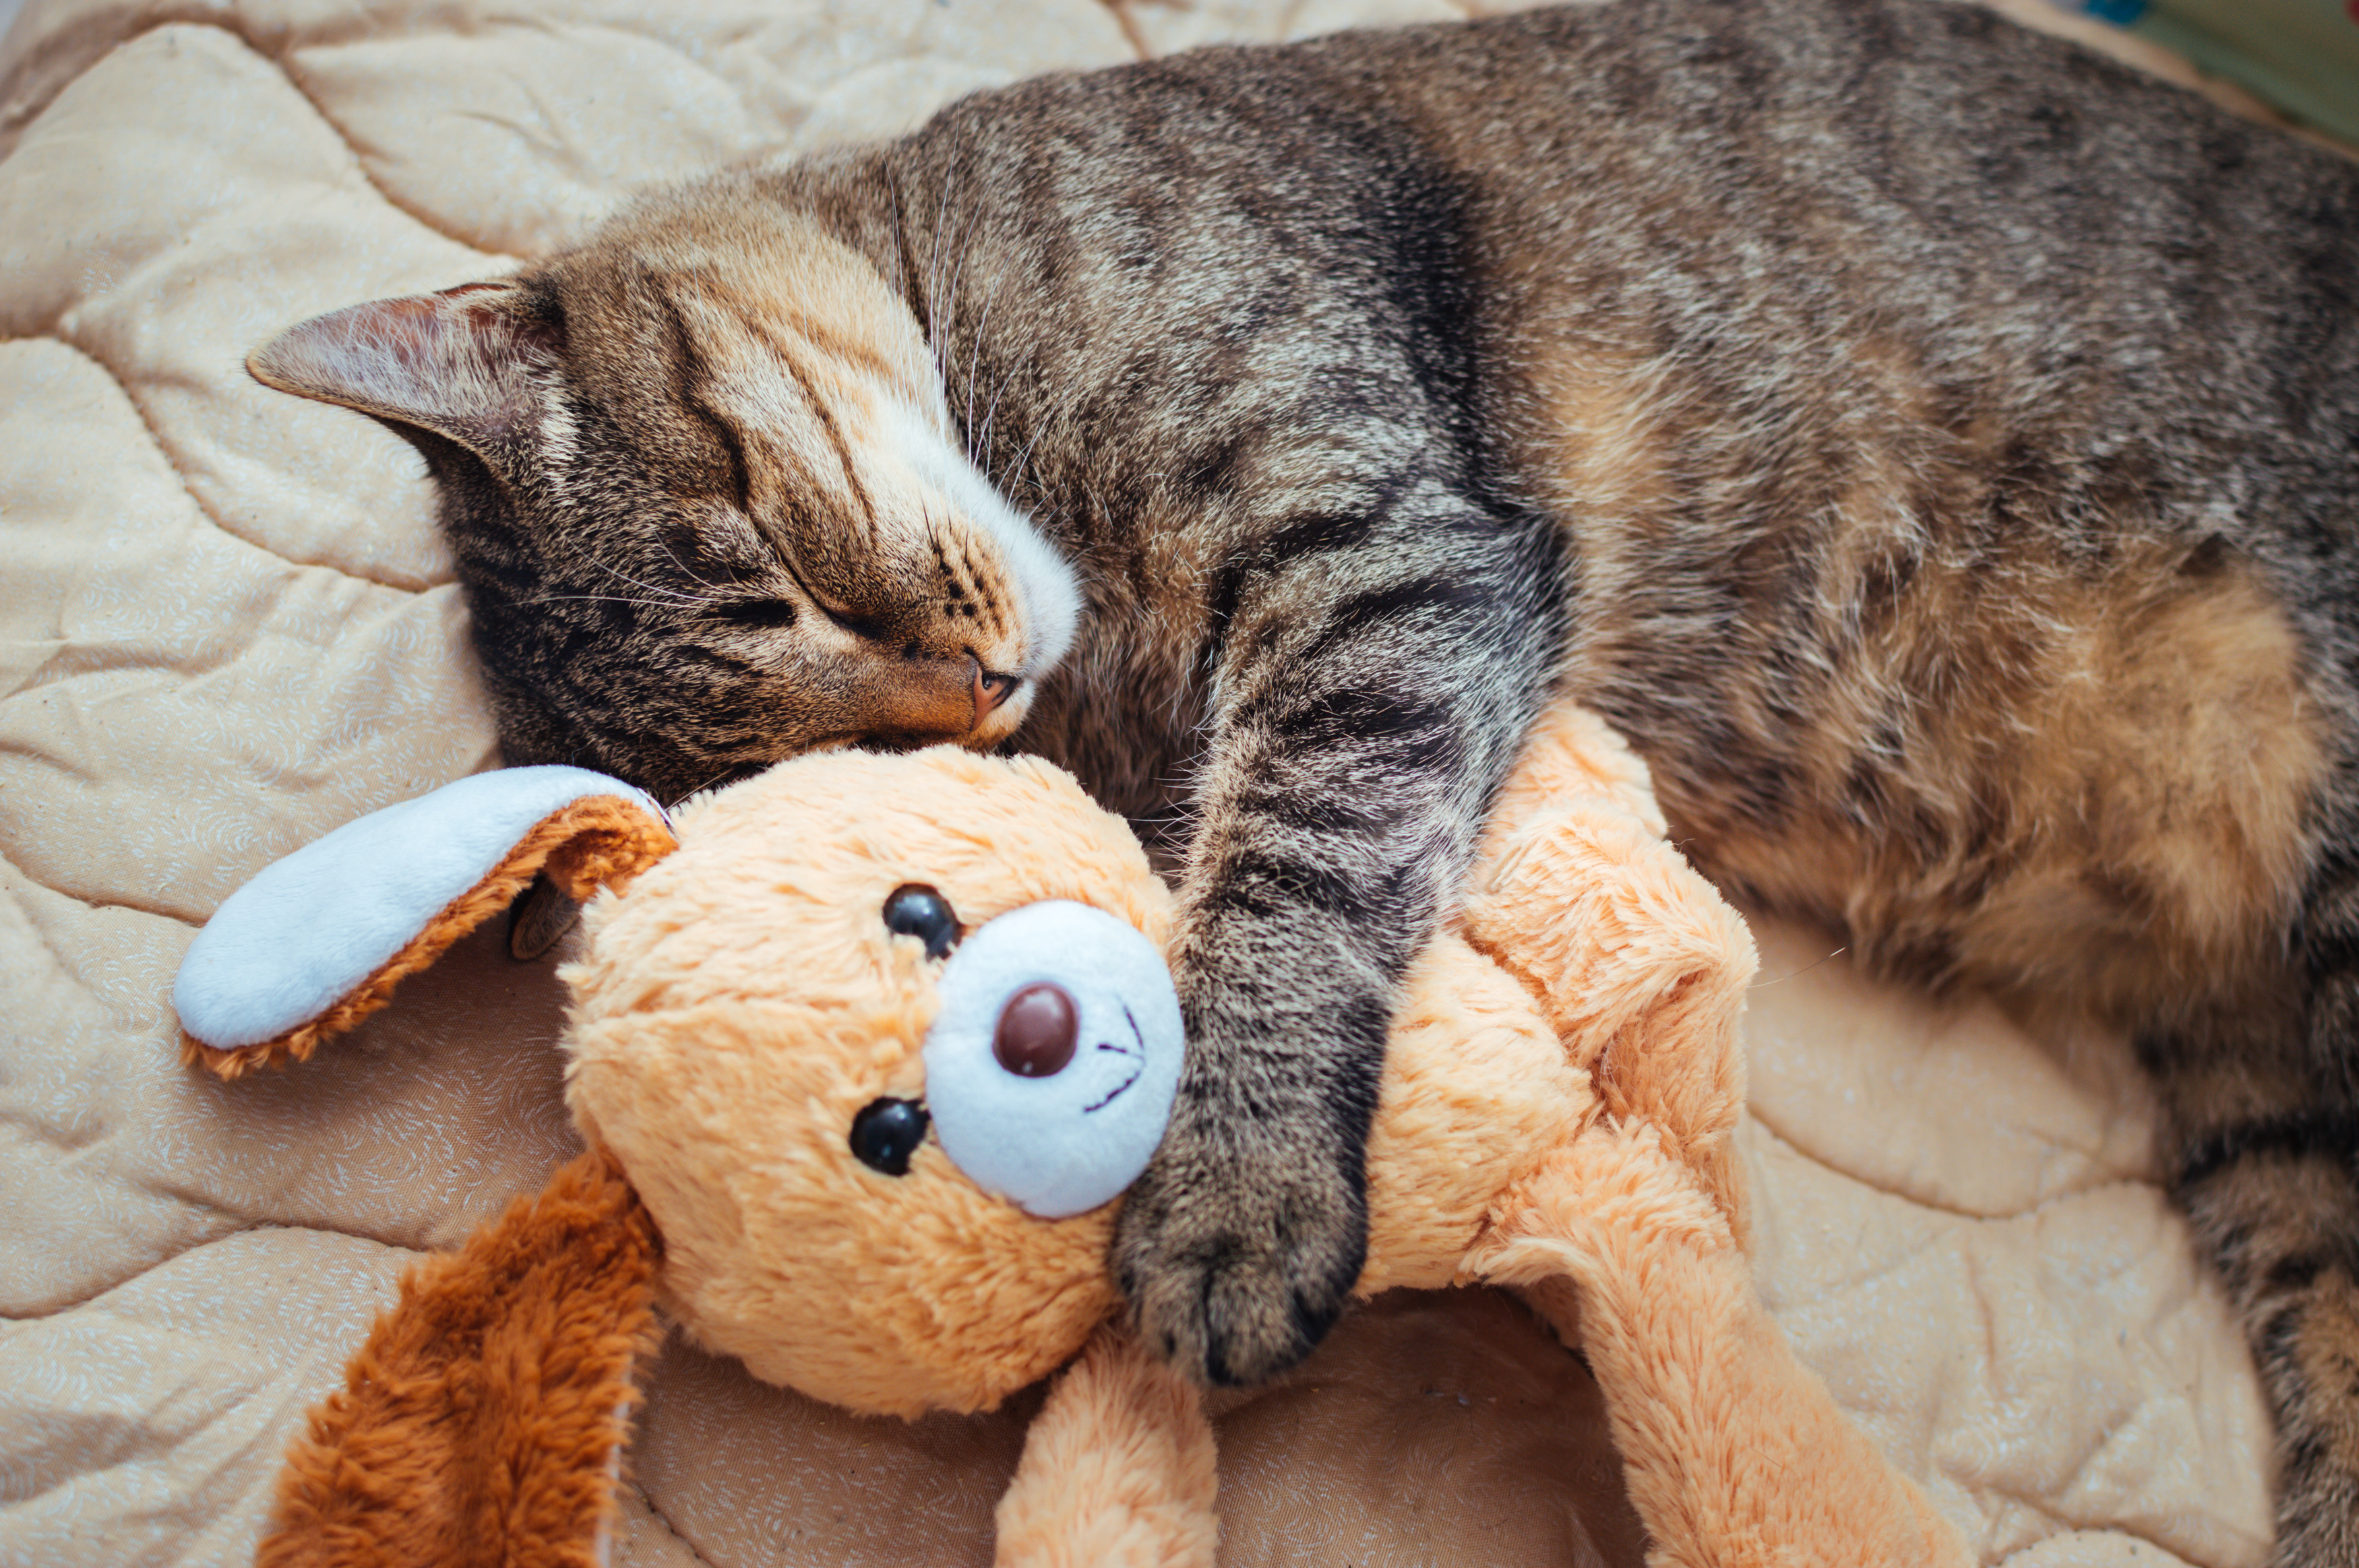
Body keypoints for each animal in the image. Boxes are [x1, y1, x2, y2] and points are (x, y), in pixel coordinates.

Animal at [249, 0, 2359, 1556]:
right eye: (832, 746)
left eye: (773, 540)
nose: (975, 674)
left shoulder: (1390, 553)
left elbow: (1292, 881)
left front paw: (1231, 1189)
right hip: (2275, 1100)